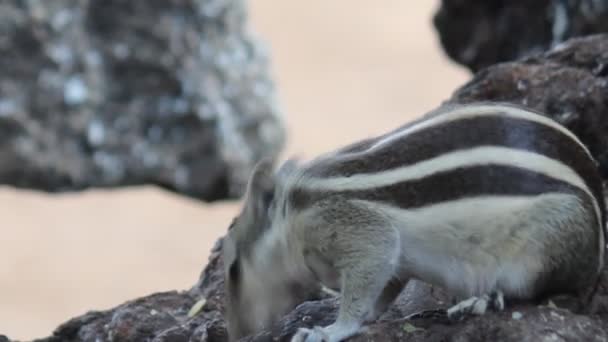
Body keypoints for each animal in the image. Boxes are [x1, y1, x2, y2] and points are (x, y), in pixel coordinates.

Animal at [220, 102, 604, 342]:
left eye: (235, 269)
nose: (236, 333)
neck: (293, 211)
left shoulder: (359, 232)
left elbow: (365, 279)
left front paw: (332, 329)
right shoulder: (395, 263)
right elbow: (383, 289)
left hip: (541, 252)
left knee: (545, 294)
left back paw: (480, 300)